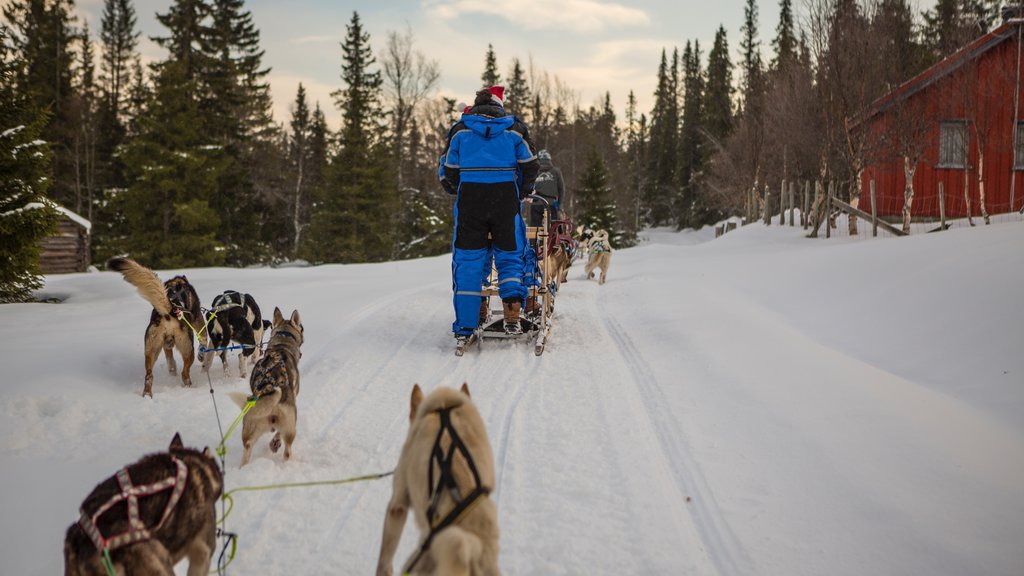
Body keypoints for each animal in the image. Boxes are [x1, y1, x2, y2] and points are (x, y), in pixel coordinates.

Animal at [107, 258, 206, 397]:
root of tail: (171, 310)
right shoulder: (198, 321)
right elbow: (204, 339)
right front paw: (202, 355)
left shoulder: (166, 345)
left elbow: (170, 359)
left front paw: (172, 370)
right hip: (188, 350)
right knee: (184, 373)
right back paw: (189, 387)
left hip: (151, 350)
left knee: (149, 376)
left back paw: (147, 395)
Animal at [234, 307, 305, 463]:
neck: (282, 343)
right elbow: (278, 434)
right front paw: (275, 442)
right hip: (290, 425)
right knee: (287, 450)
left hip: (248, 432)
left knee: (246, 452)